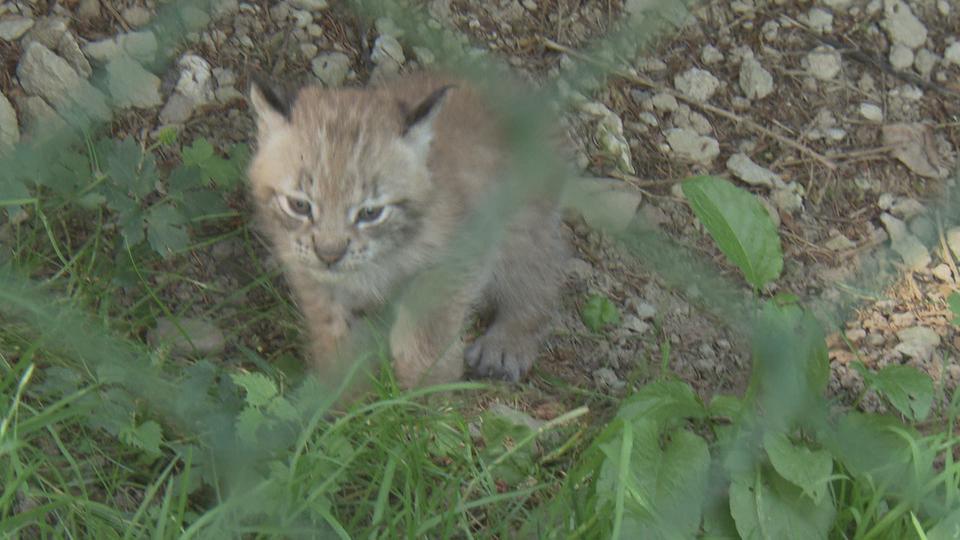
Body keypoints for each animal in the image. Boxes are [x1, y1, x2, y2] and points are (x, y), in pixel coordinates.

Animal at [248, 73, 568, 388]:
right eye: (299, 205)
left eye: (370, 213)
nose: (329, 255)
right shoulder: (306, 269)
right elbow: (331, 322)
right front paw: (339, 383)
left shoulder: (459, 256)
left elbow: (428, 325)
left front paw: (425, 385)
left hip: (524, 221)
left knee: (541, 277)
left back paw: (505, 344)